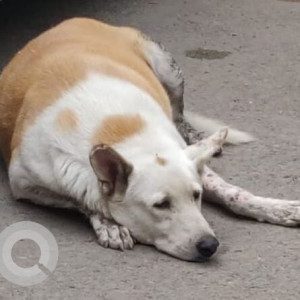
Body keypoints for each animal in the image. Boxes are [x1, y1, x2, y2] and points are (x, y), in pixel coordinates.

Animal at [1, 17, 298, 262]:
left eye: (196, 195)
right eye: (161, 205)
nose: (210, 245)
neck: (126, 135)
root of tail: (66, 23)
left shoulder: (187, 159)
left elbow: (233, 193)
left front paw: (274, 208)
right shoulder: (25, 182)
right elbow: (82, 199)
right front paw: (110, 224)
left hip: (167, 69)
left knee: (179, 113)